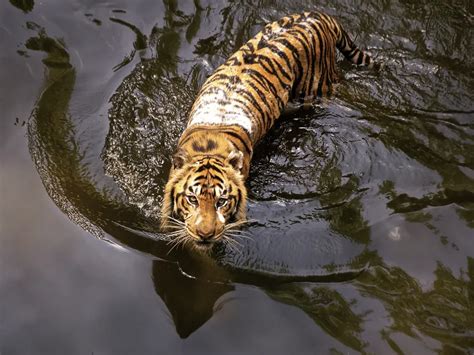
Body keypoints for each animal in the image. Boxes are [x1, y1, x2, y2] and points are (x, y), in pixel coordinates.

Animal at [161, 11, 380, 250]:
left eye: (222, 201)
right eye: (192, 199)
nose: (205, 234)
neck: (211, 144)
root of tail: (319, 15)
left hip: (317, 89)